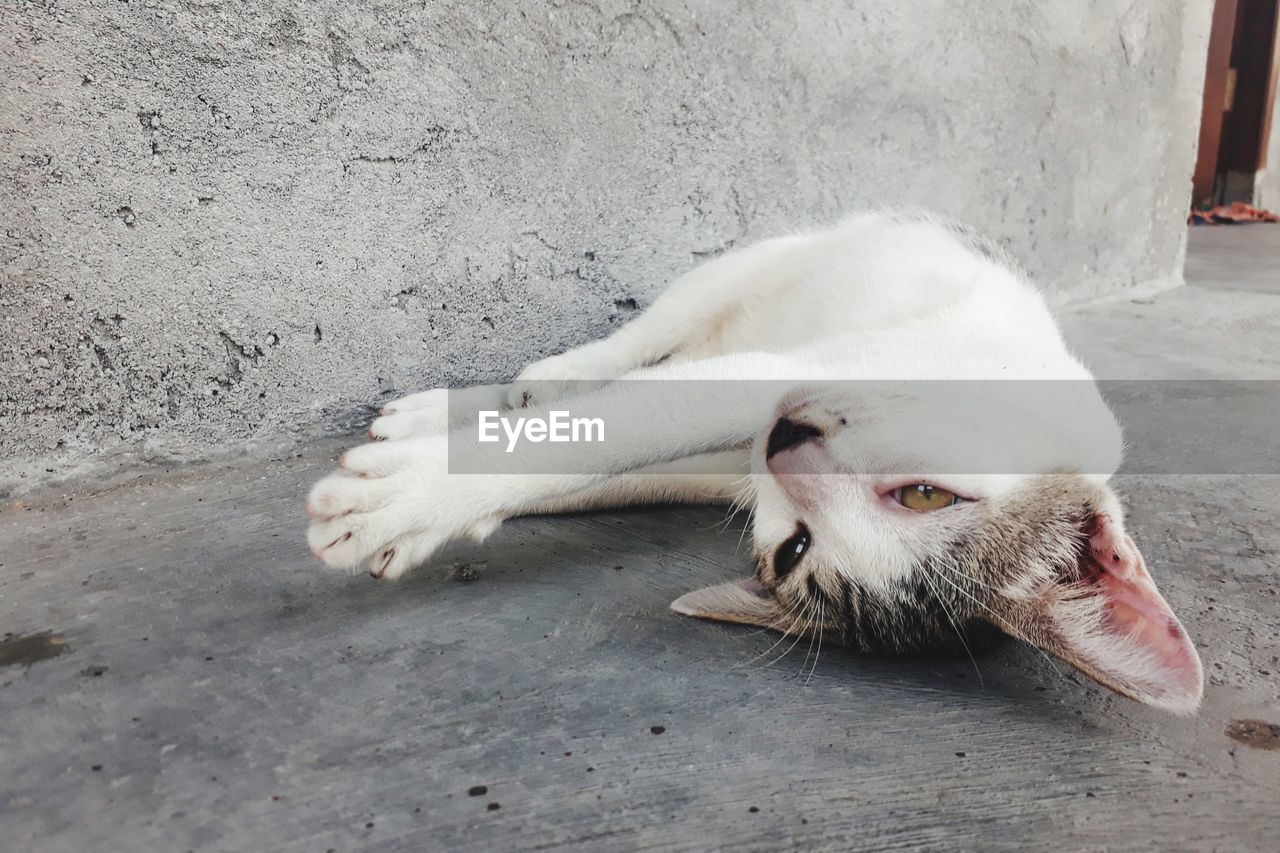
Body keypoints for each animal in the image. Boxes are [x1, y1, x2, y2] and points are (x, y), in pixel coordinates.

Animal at [304, 212, 1203, 712]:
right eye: (926, 495)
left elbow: (608, 450)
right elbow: (611, 425)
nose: (783, 439)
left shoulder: (730, 458)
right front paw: (414, 495)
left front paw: (444, 502)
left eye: (795, 547)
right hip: (749, 270)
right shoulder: (793, 375)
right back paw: (531, 378)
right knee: (624, 352)